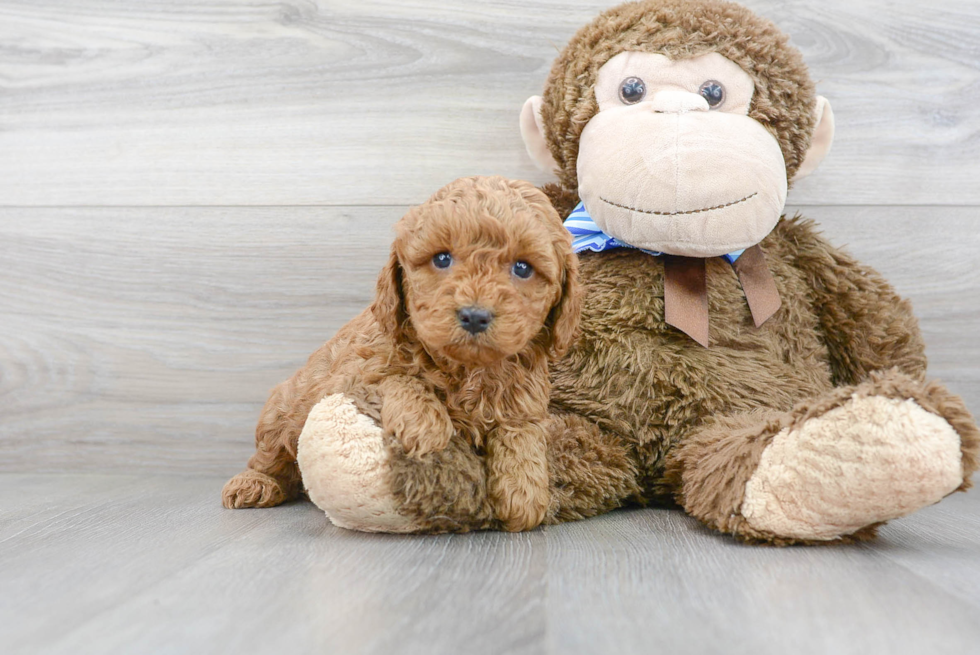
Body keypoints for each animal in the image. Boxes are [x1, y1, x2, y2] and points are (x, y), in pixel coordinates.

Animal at [224, 176, 580, 532]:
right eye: (442, 259)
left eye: (523, 268)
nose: (474, 316)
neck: (467, 368)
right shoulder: (352, 373)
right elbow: (396, 377)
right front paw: (425, 426)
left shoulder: (525, 394)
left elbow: (522, 429)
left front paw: (525, 491)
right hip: (281, 413)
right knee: (270, 457)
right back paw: (254, 483)